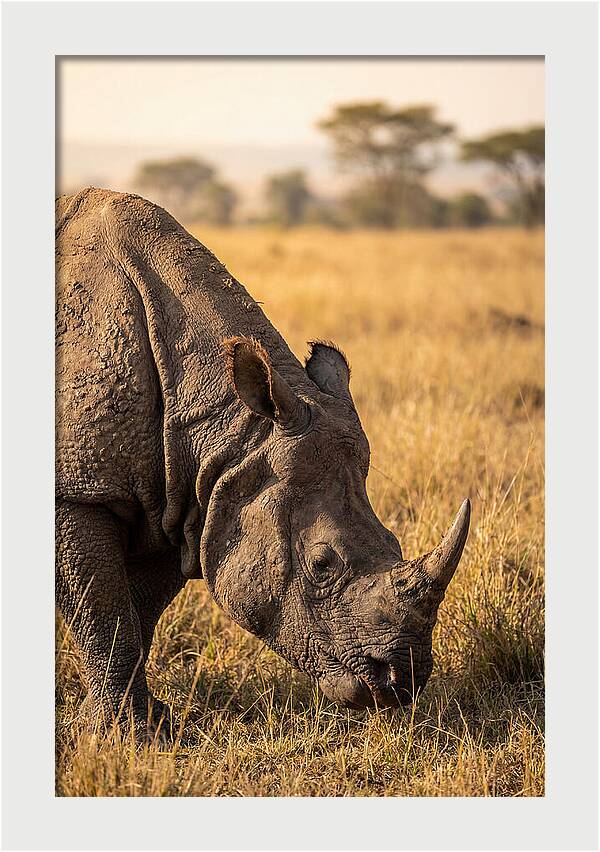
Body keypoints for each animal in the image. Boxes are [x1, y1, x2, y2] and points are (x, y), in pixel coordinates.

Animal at [56, 187, 470, 738]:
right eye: (322, 564)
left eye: (395, 542)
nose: (402, 682)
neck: (230, 432)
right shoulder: (80, 491)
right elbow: (105, 617)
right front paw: (124, 736)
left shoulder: (183, 497)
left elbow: (136, 615)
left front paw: (142, 725)